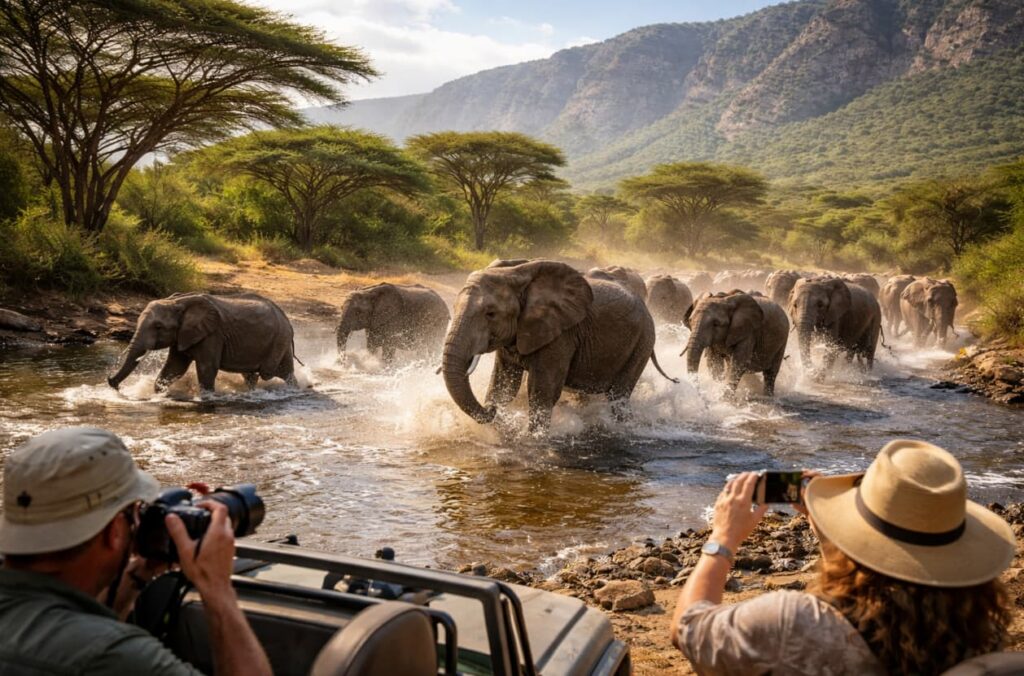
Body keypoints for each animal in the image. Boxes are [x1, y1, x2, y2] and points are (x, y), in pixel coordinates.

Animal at [108, 292, 298, 394]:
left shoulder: (212, 335)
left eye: (158, 327)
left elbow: (207, 368)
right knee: (254, 375)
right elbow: (174, 368)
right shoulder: (183, 335)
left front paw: (207, 396)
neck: (177, 302)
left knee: (274, 373)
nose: (112, 382)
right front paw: (158, 394)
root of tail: (287, 320)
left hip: (279, 340)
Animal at [442, 259, 674, 432]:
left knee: (618, 394)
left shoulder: (562, 335)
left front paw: (533, 440)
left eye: (490, 314)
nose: (491, 411)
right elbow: (504, 383)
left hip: (643, 340)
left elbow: (542, 390)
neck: (516, 276)